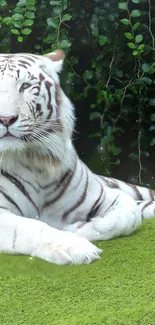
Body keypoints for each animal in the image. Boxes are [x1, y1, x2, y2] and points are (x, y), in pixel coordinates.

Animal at [0, 49, 154, 264]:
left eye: (25, 86)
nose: (5, 119)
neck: (36, 161)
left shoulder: (105, 195)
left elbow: (129, 216)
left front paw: (77, 229)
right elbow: (31, 227)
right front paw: (74, 247)